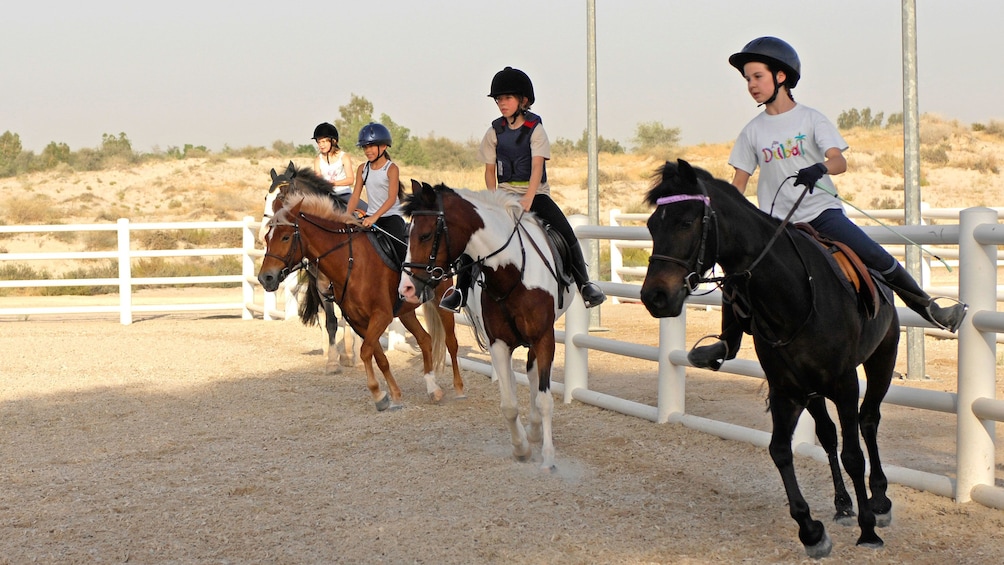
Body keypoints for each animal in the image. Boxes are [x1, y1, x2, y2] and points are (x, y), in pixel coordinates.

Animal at [257, 191, 463, 411]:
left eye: (286, 237)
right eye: (268, 238)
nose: (265, 278)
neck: (351, 262)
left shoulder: (381, 316)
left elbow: (365, 352)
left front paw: (378, 393)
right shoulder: (358, 321)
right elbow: (379, 357)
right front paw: (392, 395)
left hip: (442, 301)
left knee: (451, 342)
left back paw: (459, 388)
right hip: (405, 310)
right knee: (424, 339)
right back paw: (433, 389)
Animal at [397, 181, 574, 473]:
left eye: (425, 235)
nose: (406, 289)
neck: (511, 272)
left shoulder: (543, 337)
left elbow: (545, 398)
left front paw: (548, 458)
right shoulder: (498, 343)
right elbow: (509, 404)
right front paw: (521, 449)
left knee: (533, 376)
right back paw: (530, 432)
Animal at [638, 159, 899, 557]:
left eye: (686, 221)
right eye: (653, 225)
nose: (654, 297)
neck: (794, 294)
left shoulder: (844, 383)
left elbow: (854, 455)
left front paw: (868, 528)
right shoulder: (785, 390)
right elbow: (780, 451)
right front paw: (811, 530)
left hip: (881, 360)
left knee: (868, 422)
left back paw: (879, 501)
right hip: (812, 390)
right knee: (828, 435)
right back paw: (843, 504)